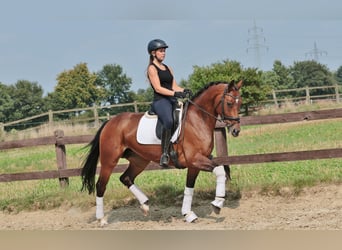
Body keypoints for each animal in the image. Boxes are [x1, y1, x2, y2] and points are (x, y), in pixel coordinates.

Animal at [81, 81, 242, 226]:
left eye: (240, 103)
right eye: (229, 103)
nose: (236, 130)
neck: (198, 120)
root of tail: (109, 122)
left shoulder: (196, 163)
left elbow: (190, 187)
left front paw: (188, 214)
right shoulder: (196, 160)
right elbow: (220, 171)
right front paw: (217, 203)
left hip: (139, 160)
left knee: (126, 178)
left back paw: (145, 205)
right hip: (109, 161)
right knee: (101, 185)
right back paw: (101, 219)